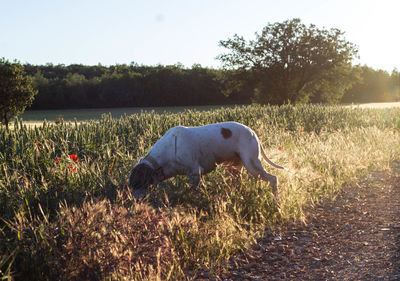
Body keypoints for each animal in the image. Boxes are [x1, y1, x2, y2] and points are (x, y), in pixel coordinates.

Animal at [128, 121, 284, 197]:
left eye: (137, 183)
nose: (133, 201)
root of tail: (253, 132)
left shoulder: (195, 173)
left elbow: (190, 191)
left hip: (252, 164)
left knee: (273, 179)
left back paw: (276, 199)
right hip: (233, 168)